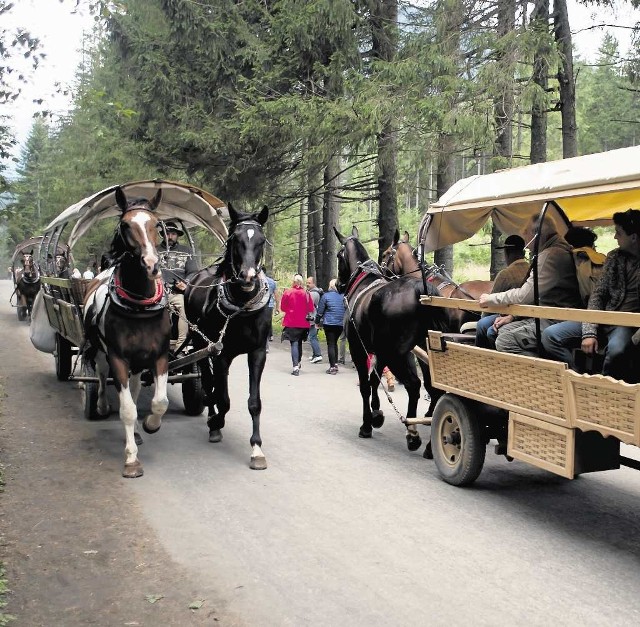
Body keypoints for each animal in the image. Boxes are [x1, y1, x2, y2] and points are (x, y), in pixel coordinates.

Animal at [82, 185, 170, 476]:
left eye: (156, 224)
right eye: (125, 225)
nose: (152, 264)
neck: (139, 306)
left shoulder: (159, 356)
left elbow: (159, 401)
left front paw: (151, 424)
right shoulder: (118, 357)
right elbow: (127, 410)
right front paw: (131, 459)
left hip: (138, 362)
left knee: (134, 387)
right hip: (100, 351)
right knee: (99, 375)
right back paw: (100, 404)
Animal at [332, 228, 448, 448]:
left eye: (338, 255)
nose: (339, 284)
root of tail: (422, 291)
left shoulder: (359, 349)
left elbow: (366, 385)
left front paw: (367, 424)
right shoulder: (380, 351)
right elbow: (374, 380)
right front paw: (377, 413)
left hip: (398, 354)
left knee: (414, 385)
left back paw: (413, 434)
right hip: (421, 352)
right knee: (436, 389)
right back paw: (429, 443)